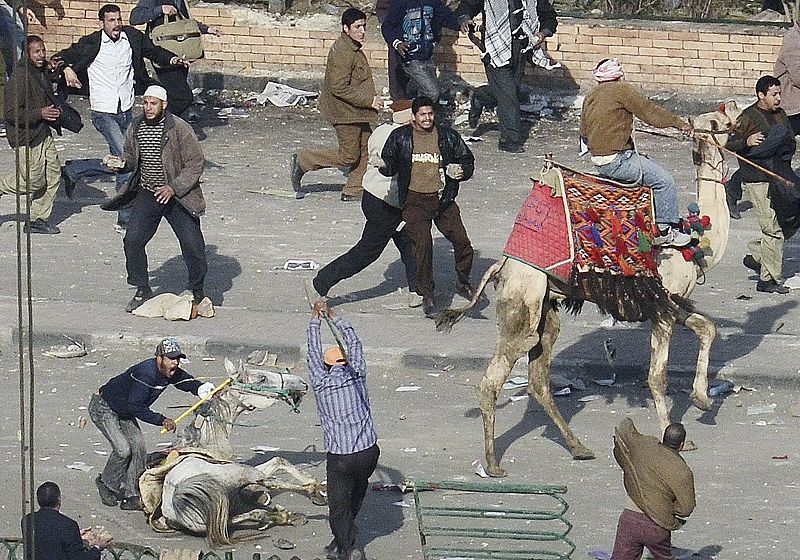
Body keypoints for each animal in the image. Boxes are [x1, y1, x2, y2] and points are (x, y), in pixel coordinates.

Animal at [434, 103, 740, 474]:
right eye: (717, 122)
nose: (736, 111)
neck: (697, 243)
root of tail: (502, 264)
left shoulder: (669, 301)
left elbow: (708, 328)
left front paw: (703, 400)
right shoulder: (661, 306)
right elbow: (657, 376)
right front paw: (674, 433)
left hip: (546, 309)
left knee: (539, 377)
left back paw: (579, 447)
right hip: (522, 302)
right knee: (493, 377)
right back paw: (493, 464)